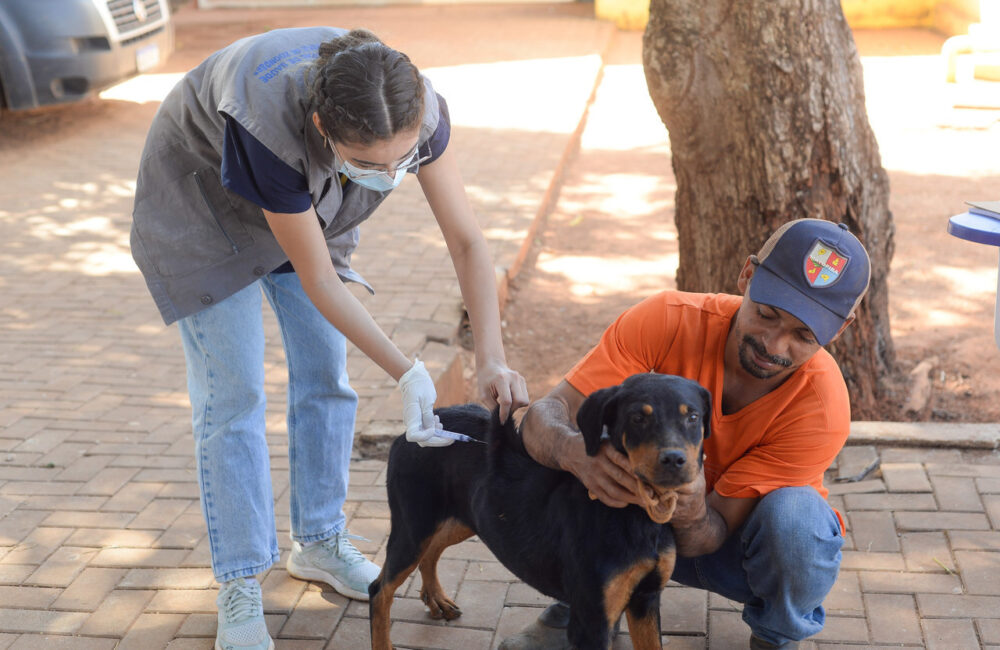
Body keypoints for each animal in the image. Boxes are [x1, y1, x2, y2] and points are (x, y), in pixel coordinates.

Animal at [370, 370, 712, 648]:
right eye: (638, 418)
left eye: (693, 417)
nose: (674, 460)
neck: (637, 515)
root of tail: (412, 430)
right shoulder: (592, 620)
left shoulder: (646, 600)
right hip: (413, 525)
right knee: (379, 590)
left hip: (462, 518)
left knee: (431, 551)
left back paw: (436, 600)